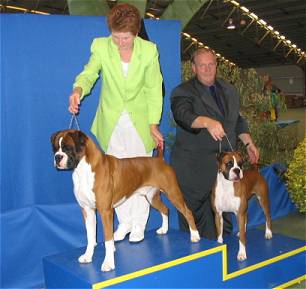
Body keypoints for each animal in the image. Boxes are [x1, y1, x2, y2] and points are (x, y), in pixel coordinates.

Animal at [51, 129, 200, 272]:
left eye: (68, 148)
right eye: (55, 148)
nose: (57, 157)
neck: (84, 170)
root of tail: (159, 159)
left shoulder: (105, 212)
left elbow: (108, 239)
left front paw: (108, 263)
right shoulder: (87, 211)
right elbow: (90, 236)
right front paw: (88, 256)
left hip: (173, 193)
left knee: (188, 212)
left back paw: (195, 236)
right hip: (152, 198)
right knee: (165, 209)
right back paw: (164, 229)